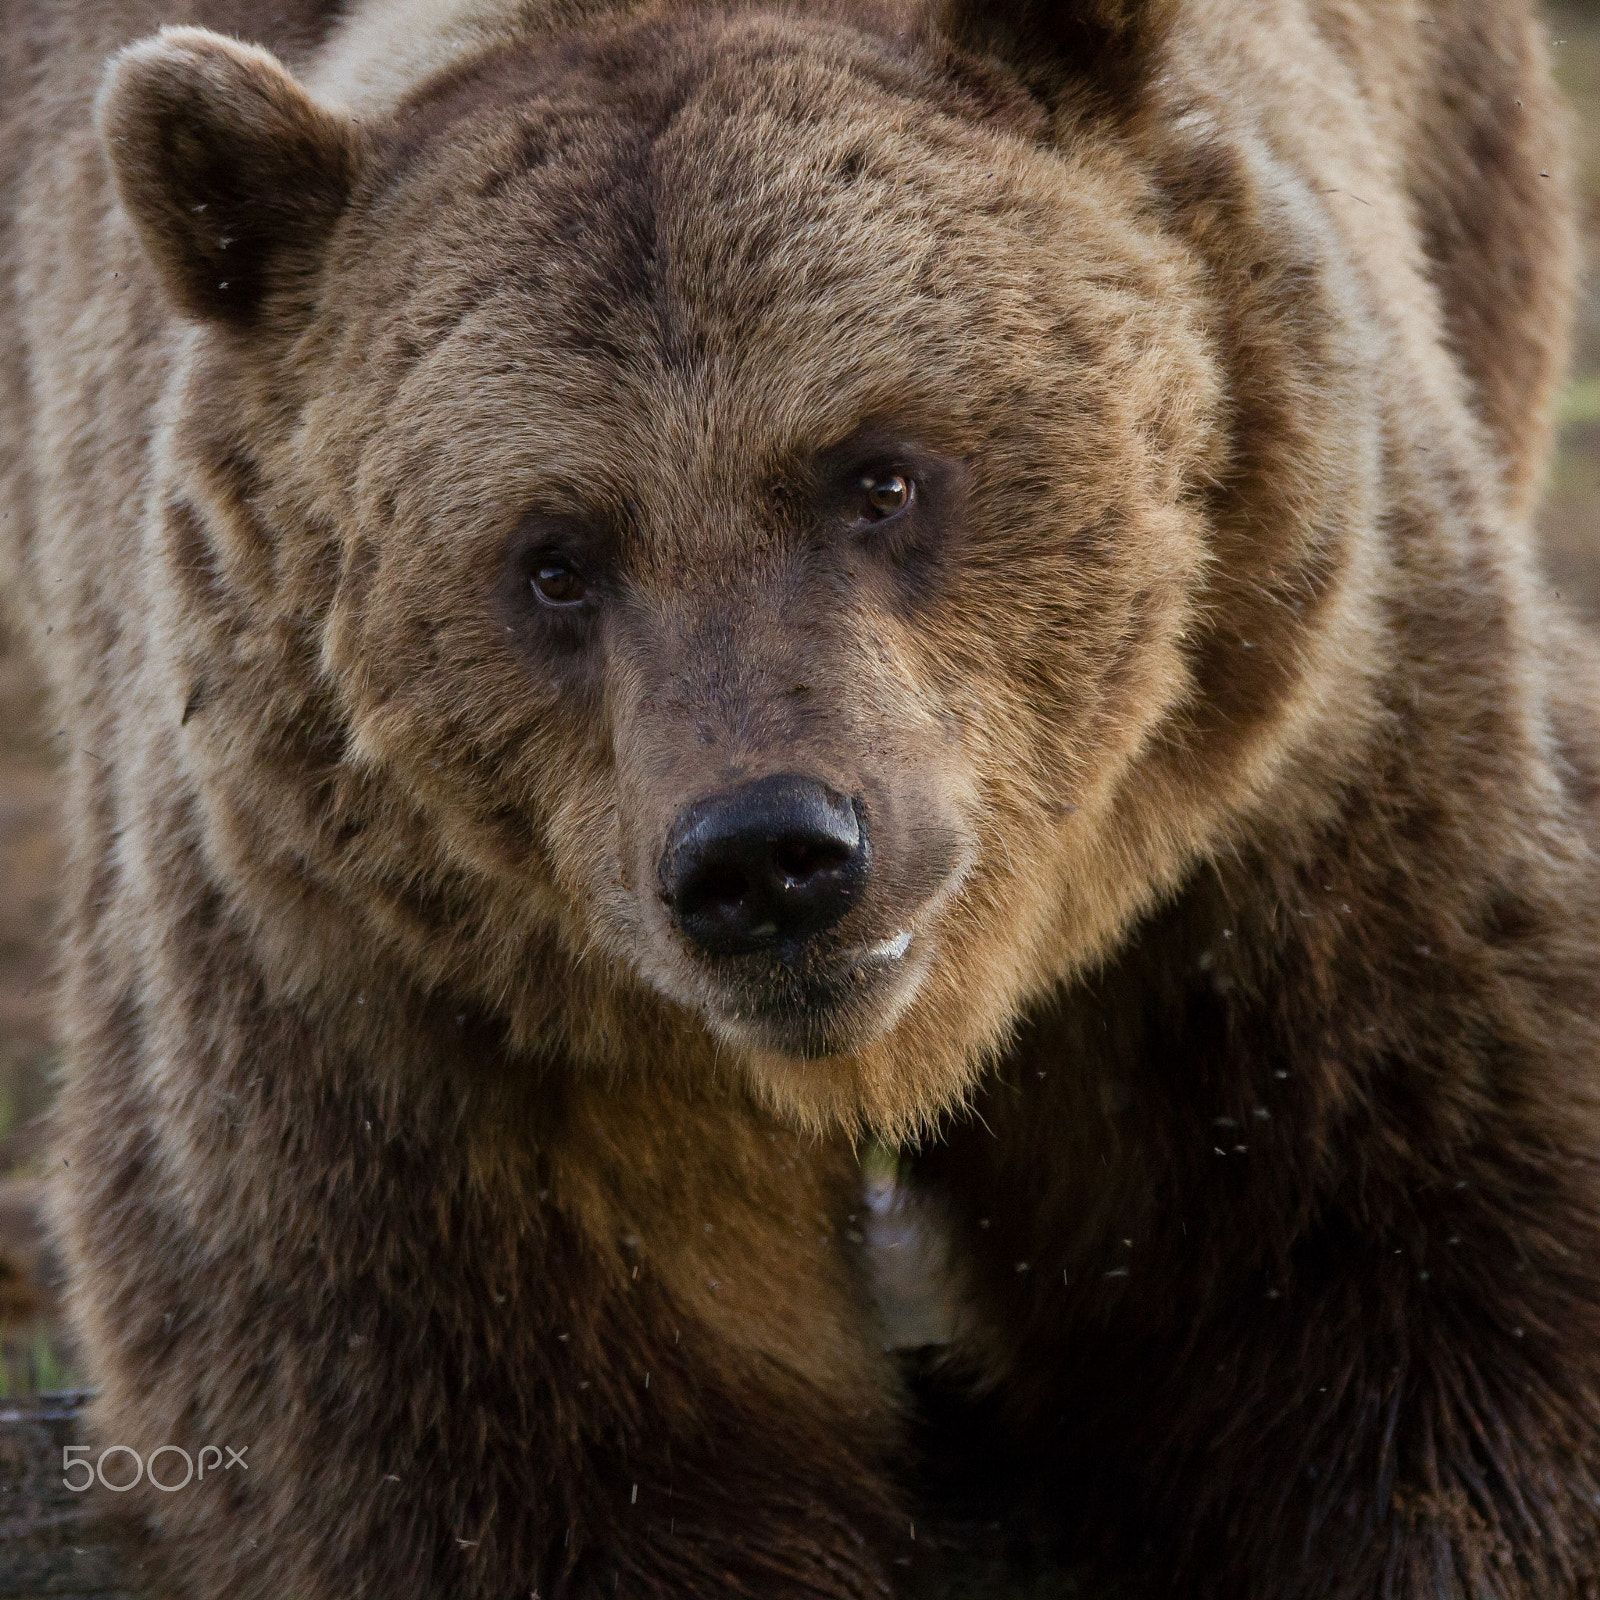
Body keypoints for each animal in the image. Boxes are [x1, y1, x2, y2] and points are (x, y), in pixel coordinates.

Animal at [0, 0, 1594, 1596]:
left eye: (878, 473)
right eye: (553, 558)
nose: (767, 856)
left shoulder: (1292, 807)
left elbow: (1401, 1275)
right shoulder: (396, 994)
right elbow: (514, 1439)